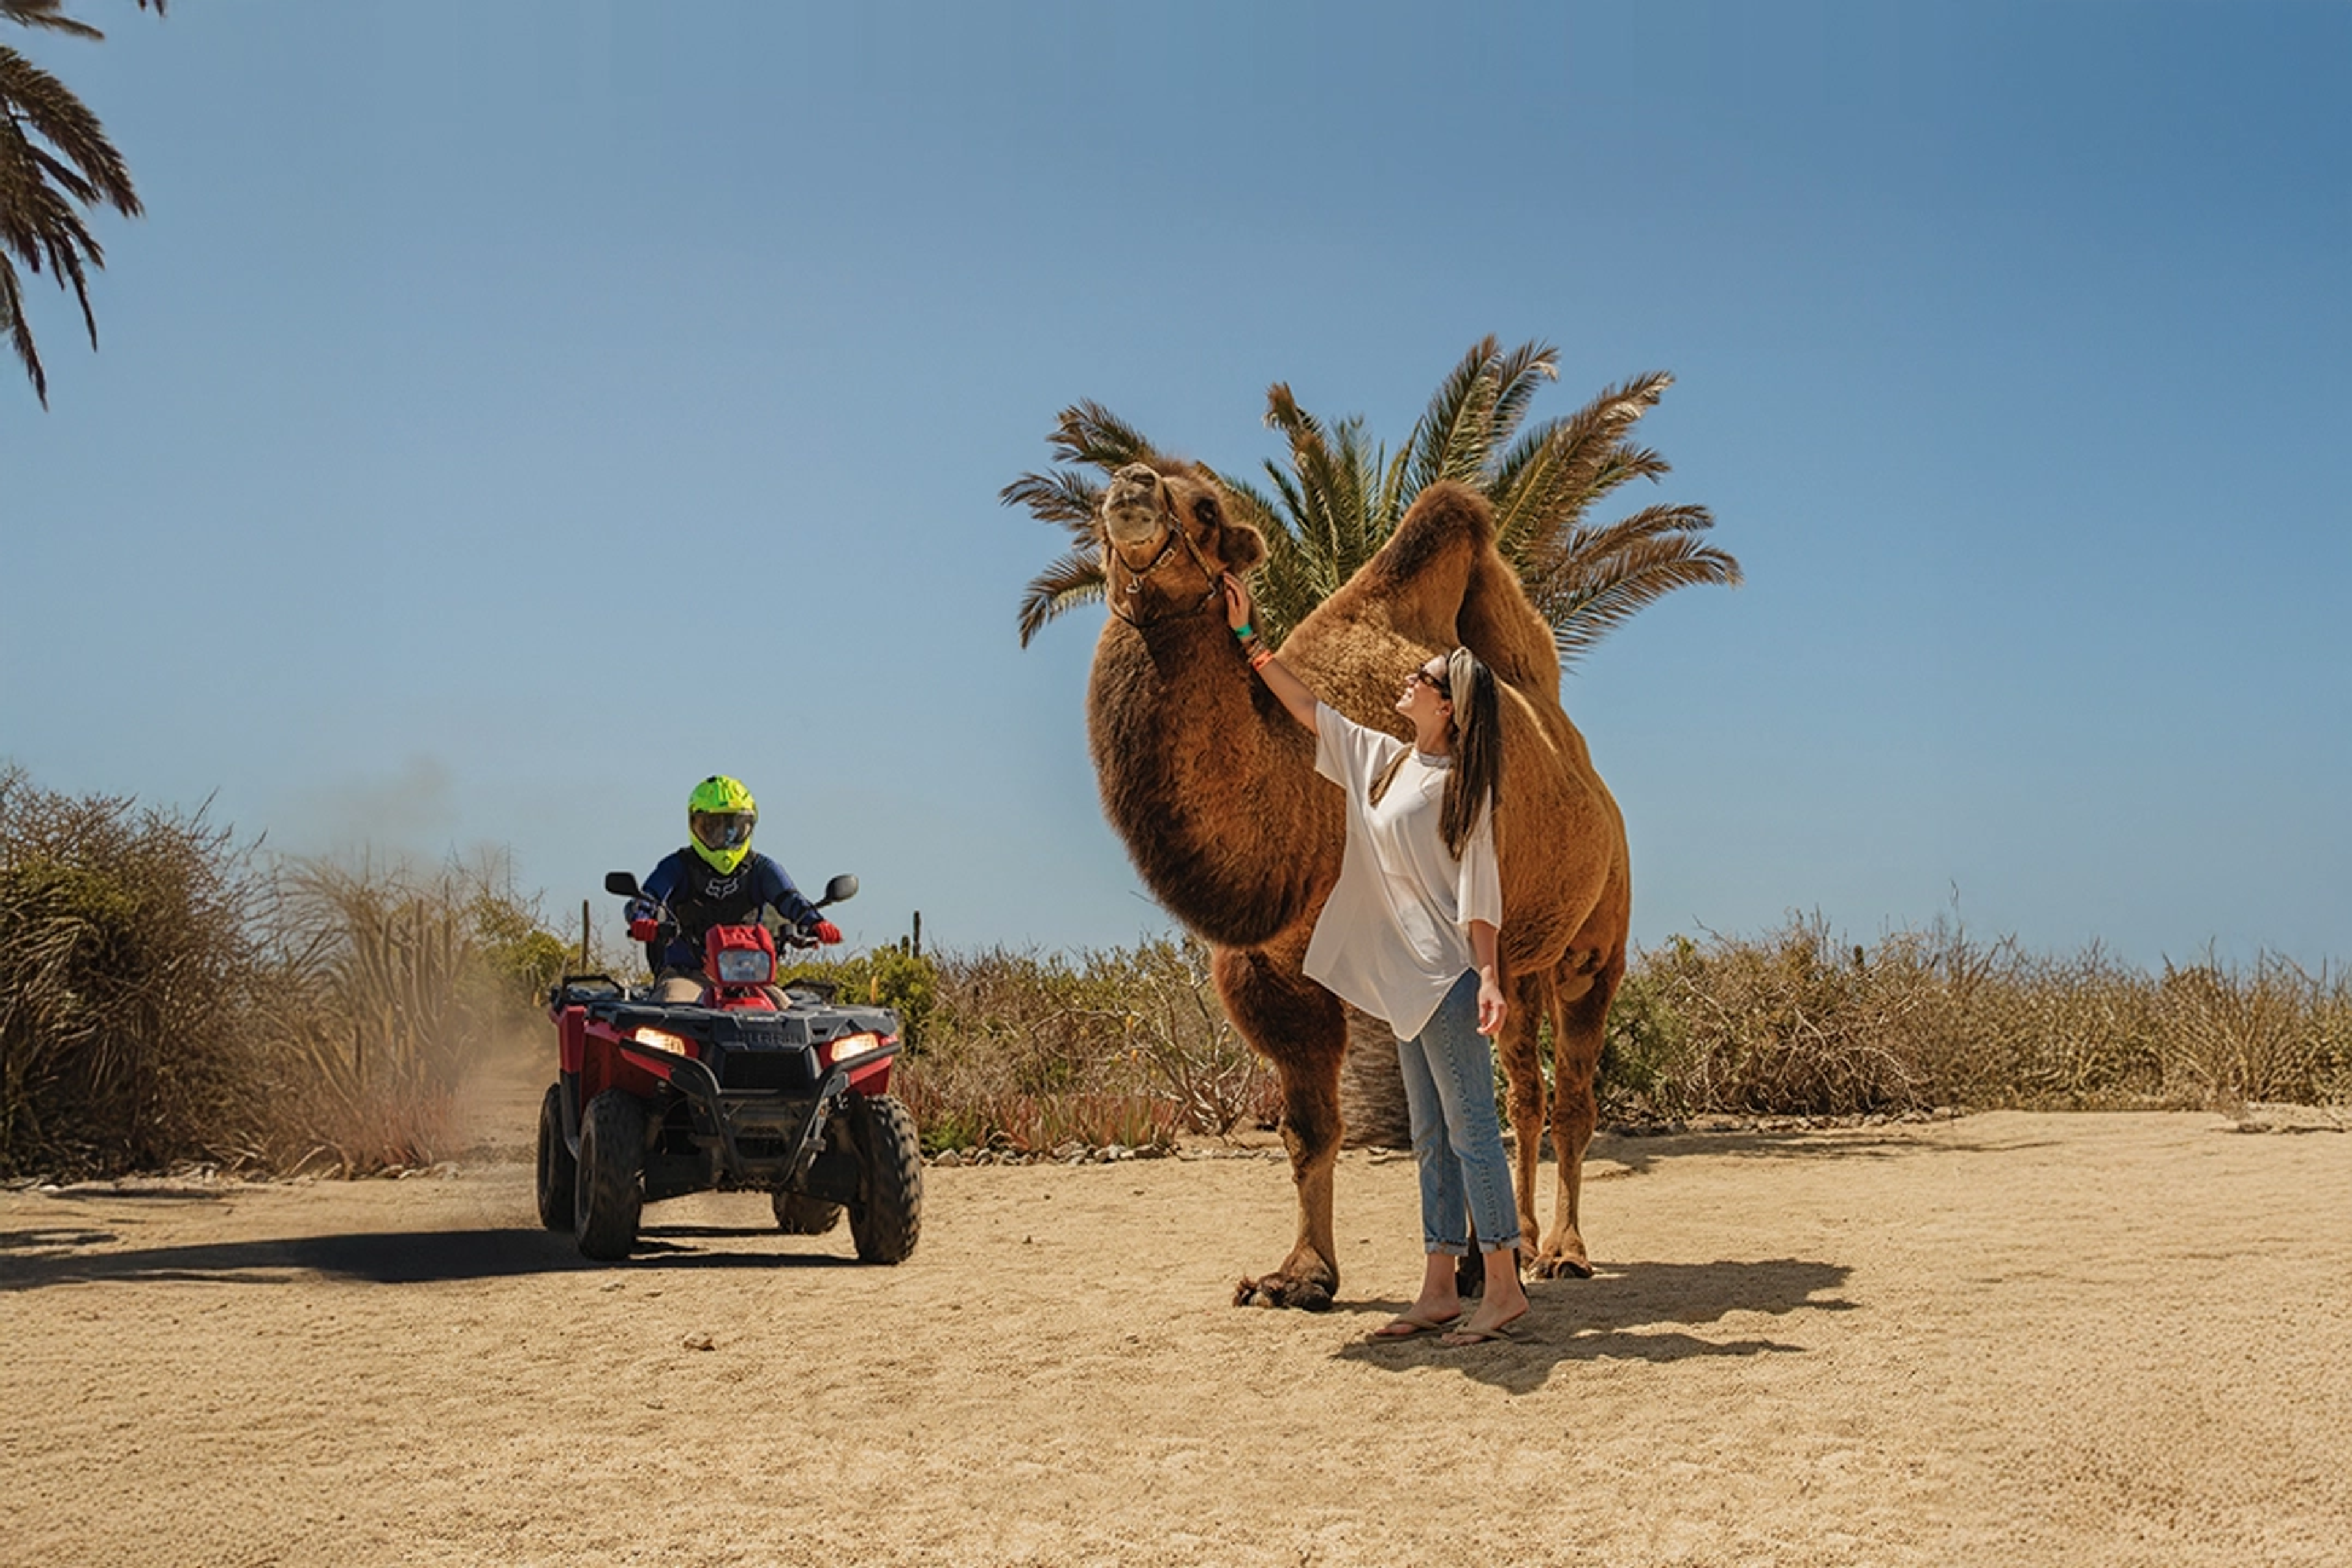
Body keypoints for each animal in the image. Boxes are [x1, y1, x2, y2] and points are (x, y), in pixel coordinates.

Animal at [1086, 458, 1632, 1308]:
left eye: (1206, 507)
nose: (1129, 486)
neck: (1312, 810)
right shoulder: (1268, 976)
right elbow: (1310, 1128)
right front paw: (1299, 1276)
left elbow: (1446, 1112)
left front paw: (1465, 1267)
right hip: (1519, 966)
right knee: (1524, 1090)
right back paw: (1522, 1240)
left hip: (1596, 946)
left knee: (1572, 1092)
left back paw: (1564, 1252)